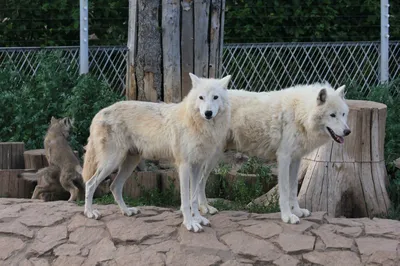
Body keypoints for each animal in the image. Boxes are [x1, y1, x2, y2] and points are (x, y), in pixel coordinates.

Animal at [81, 73, 231, 233]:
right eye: (201, 97)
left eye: (215, 97)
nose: (208, 113)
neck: (198, 124)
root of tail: (98, 113)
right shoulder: (184, 166)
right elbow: (185, 200)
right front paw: (190, 224)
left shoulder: (196, 166)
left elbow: (194, 198)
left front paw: (198, 219)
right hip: (112, 163)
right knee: (90, 184)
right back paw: (89, 212)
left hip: (129, 163)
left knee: (114, 186)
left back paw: (127, 211)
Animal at [196, 82, 350, 223]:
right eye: (332, 115)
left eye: (343, 114)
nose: (348, 131)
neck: (300, 113)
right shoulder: (284, 158)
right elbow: (285, 191)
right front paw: (287, 216)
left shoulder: (296, 159)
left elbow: (293, 188)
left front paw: (297, 211)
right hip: (213, 157)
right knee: (200, 181)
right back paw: (204, 208)